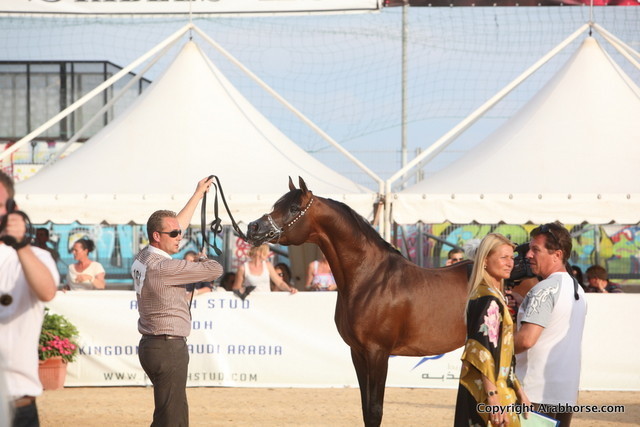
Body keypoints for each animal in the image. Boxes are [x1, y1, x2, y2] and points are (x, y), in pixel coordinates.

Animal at [246, 177, 469, 427]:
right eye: (276, 205)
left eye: (294, 208)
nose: (253, 228)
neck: (369, 278)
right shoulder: (358, 353)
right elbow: (365, 410)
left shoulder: (378, 352)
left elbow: (375, 411)